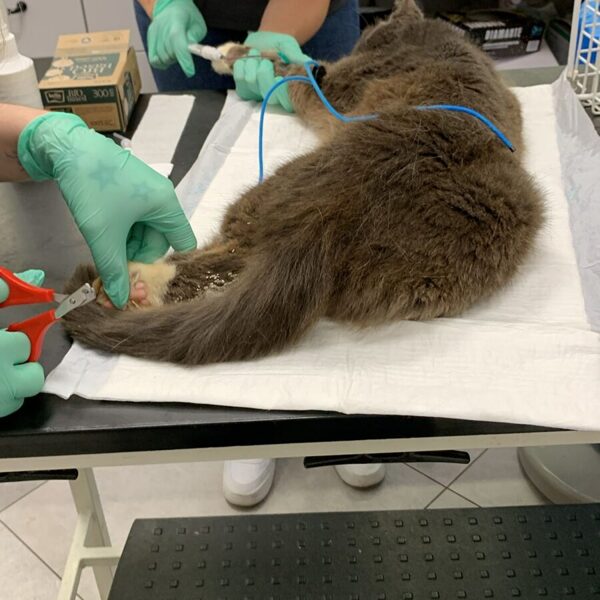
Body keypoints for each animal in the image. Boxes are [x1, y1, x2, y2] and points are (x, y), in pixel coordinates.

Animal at [63, 0, 544, 365]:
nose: (369, 29)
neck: (434, 36)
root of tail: (328, 214)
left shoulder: (335, 83)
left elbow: (288, 67)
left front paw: (233, 53)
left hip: (260, 197)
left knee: (218, 257)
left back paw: (136, 284)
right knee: (220, 269)